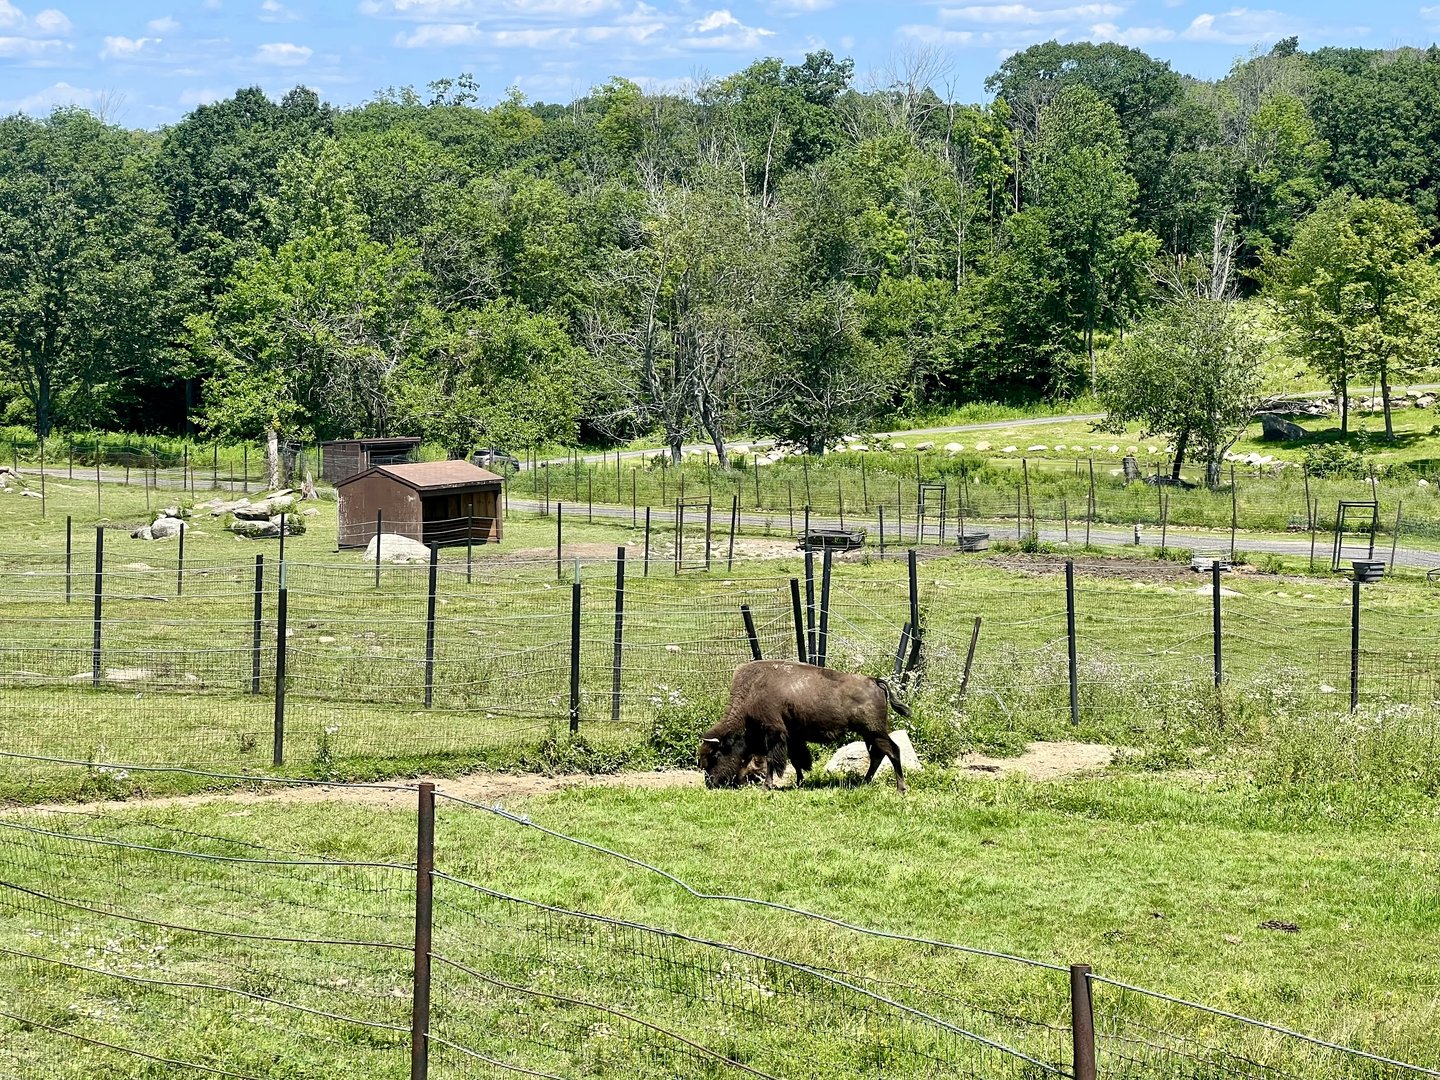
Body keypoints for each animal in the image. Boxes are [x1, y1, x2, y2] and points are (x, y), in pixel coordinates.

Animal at [698, 660, 911, 792]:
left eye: (716, 755)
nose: (710, 783)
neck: (752, 692)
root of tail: (874, 681)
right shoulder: (792, 737)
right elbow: (796, 760)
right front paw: (800, 782)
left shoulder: (774, 734)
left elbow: (773, 761)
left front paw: (767, 786)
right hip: (869, 734)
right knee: (877, 754)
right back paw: (864, 782)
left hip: (874, 731)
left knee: (892, 751)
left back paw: (900, 789)